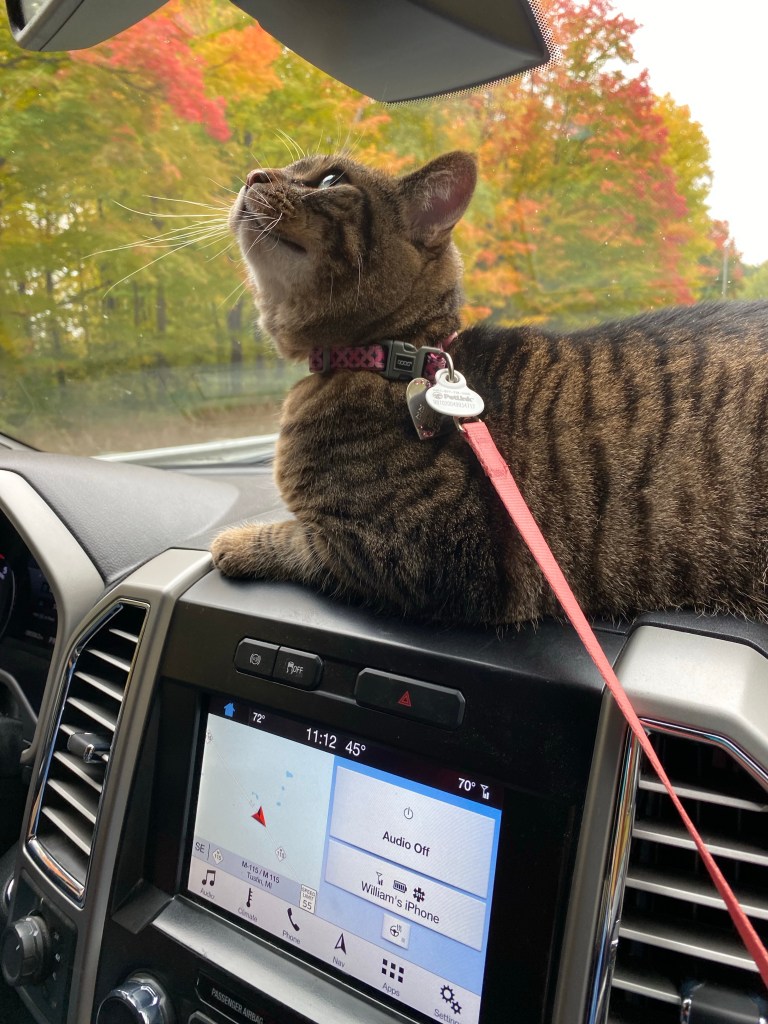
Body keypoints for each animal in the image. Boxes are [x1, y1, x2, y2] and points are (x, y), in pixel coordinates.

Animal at [211, 150, 768, 625]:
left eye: (330, 180)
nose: (253, 175)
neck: (393, 353)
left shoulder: (413, 552)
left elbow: (292, 540)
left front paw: (233, 543)